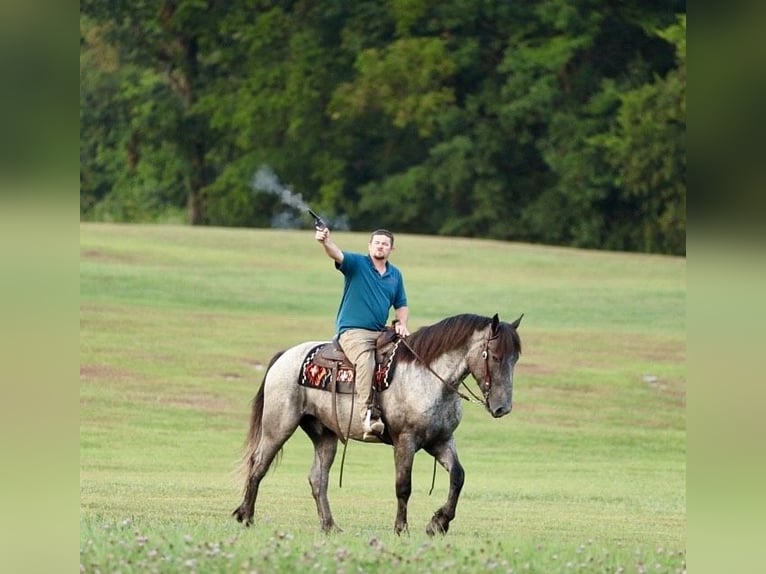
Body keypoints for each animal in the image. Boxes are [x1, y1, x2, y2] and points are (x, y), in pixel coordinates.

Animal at [231, 316, 524, 536]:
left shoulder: (440, 441)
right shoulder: (406, 441)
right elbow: (403, 486)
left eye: (515, 359)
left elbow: (458, 477)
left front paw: (438, 523)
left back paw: (330, 526)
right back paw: (245, 517)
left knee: (318, 478)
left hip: (325, 435)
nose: (503, 408)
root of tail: (285, 356)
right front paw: (401, 529)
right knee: (259, 465)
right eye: (495, 356)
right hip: (278, 426)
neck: (429, 378)